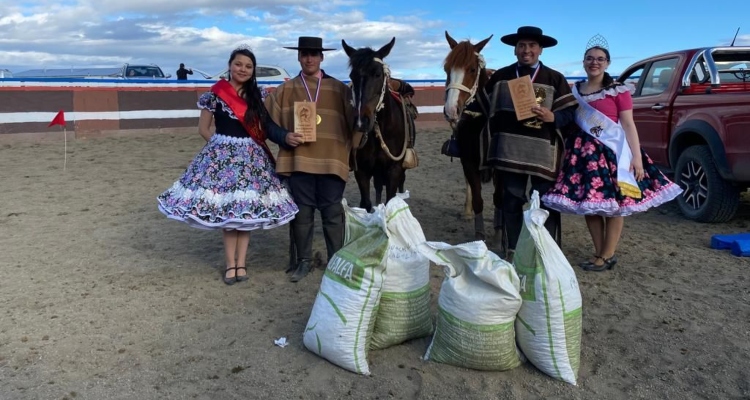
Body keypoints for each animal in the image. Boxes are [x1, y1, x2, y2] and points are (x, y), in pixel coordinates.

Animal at [342, 38, 408, 212]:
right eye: (352, 76)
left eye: (377, 74)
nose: (361, 121)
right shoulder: (362, 170)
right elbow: (366, 203)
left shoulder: (394, 170)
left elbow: (391, 200)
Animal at [444, 29, 502, 242]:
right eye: (446, 69)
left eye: (471, 69)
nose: (451, 110)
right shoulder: (468, 160)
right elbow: (478, 198)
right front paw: (479, 235)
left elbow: (499, 198)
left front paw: (499, 231)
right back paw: (466, 211)